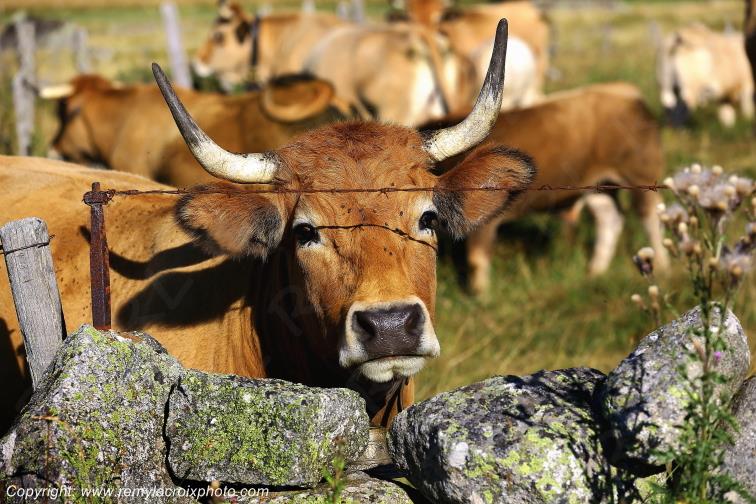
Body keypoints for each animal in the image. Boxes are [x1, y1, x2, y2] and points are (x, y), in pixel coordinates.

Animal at [421, 82, 669, 294]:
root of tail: (629, 93)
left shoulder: (483, 220)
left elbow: (477, 258)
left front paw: (480, 295)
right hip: (599, 188)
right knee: (610, 219)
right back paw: (595, 272)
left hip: (639, 177)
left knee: (650, 217)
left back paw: (663, 266)